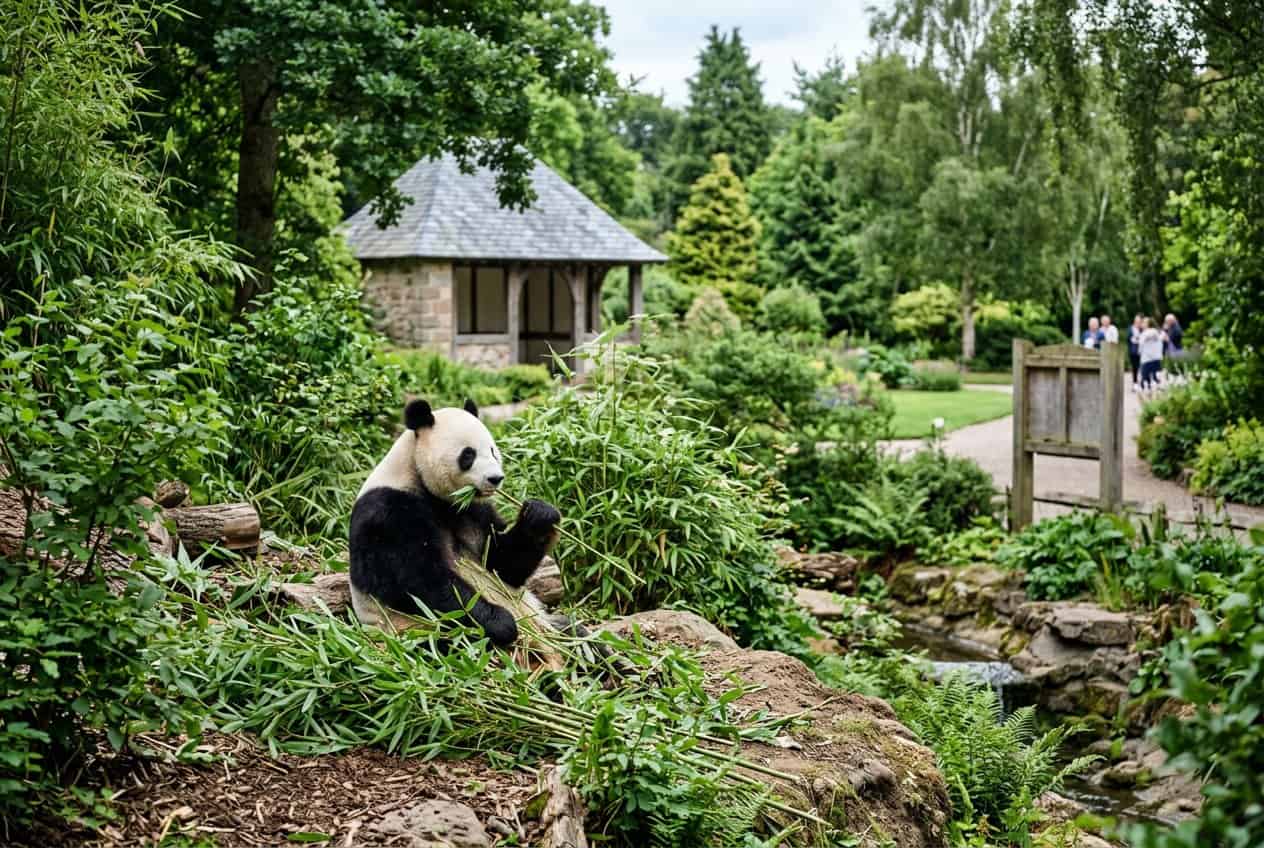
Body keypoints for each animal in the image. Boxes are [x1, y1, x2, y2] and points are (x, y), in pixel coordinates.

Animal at [348, 398, 562, 645]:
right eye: (468, 455)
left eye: (492, 450)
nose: (495, 478)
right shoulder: (387, 512)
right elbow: (421, 581)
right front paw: (502, 623)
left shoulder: (473, 510)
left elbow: (501, 563)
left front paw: (540, 515)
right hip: (415, 633)